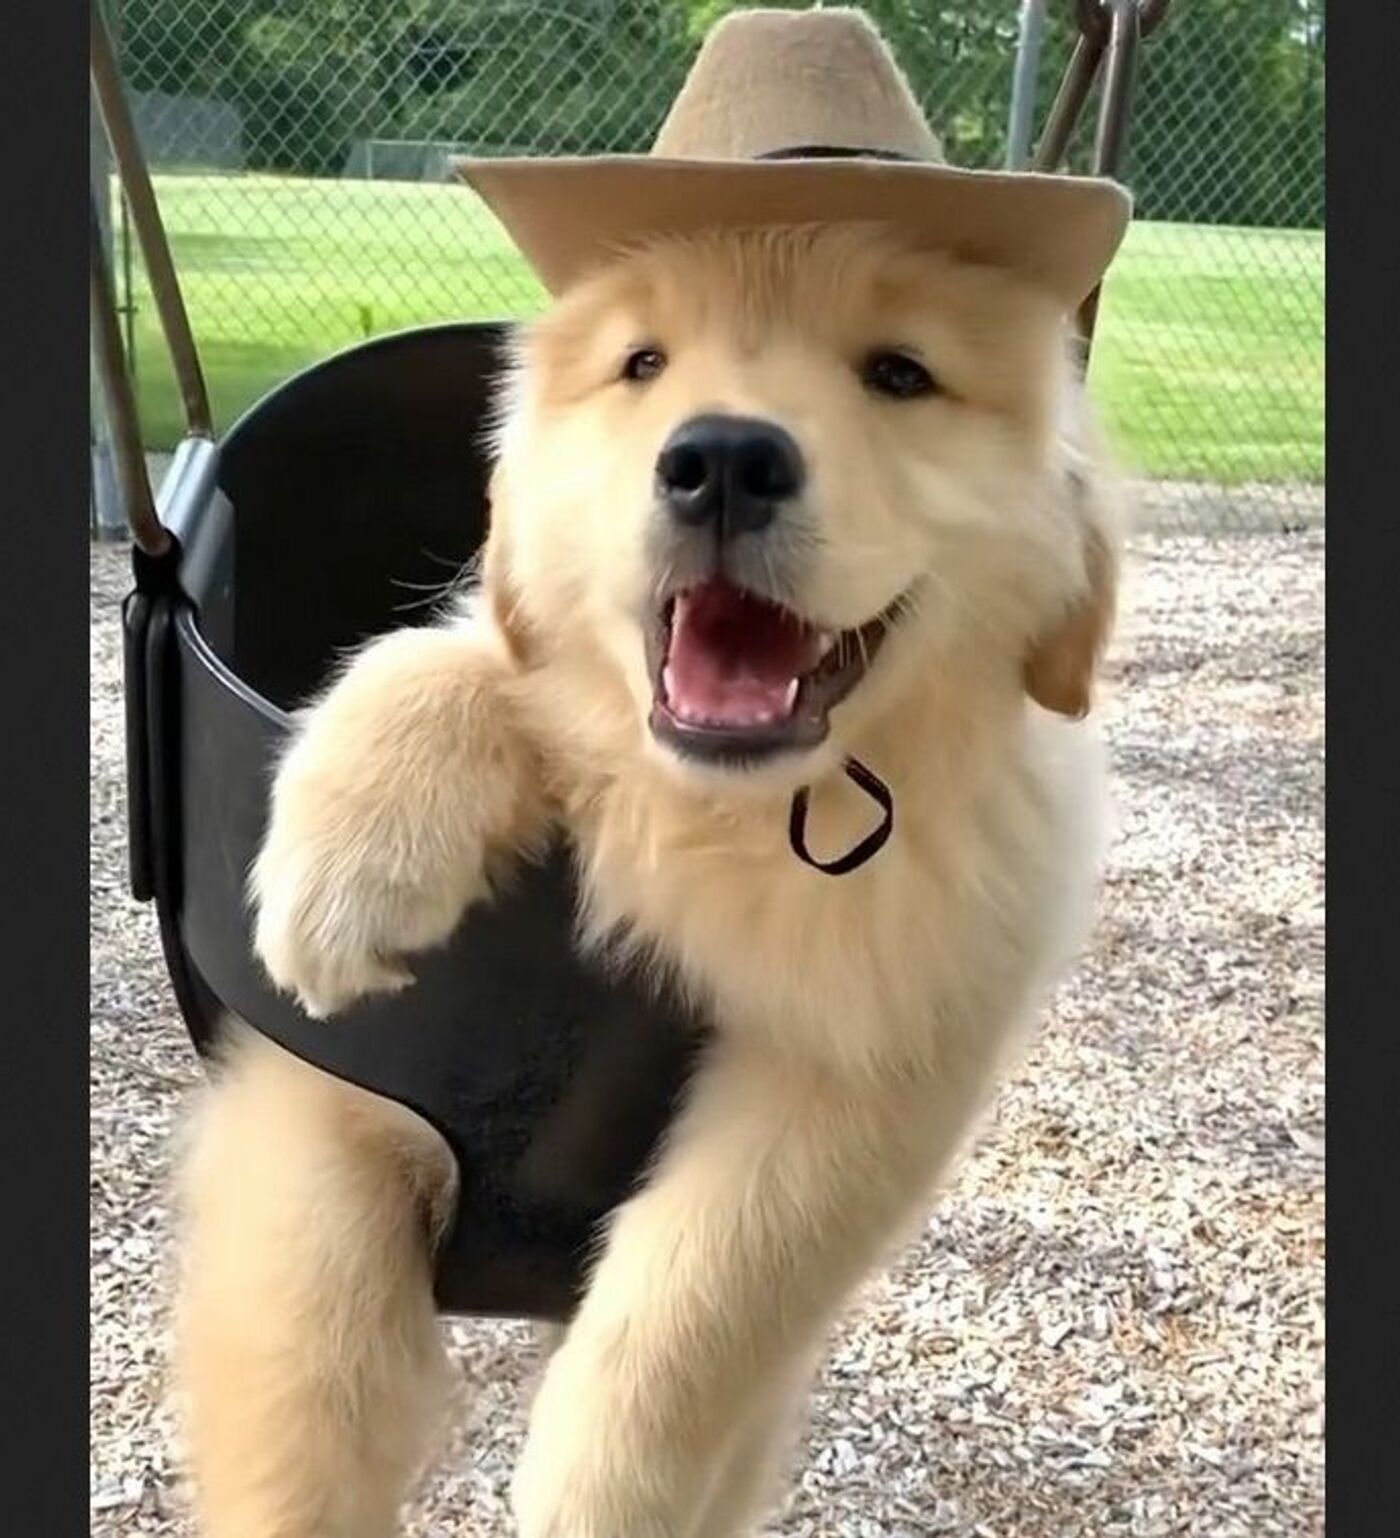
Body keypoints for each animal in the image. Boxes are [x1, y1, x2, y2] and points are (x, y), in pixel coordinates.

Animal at [180, 219, 1126, 1538]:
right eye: (642, 363)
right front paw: (349, 862)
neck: (719, 813)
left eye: (898, 373)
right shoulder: (326, 1109)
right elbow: (309, 1393)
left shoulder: (859, 1081)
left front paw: (593, 1487)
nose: (722, 458)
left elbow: (701, 1300)